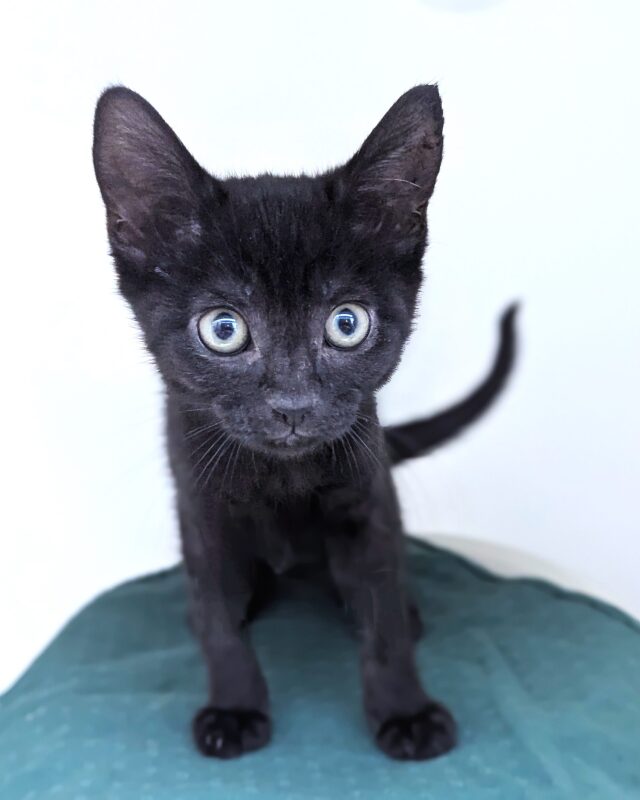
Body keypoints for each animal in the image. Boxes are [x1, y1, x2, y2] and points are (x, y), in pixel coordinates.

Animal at [93, 84, 517, 761]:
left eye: (347, 324)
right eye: (223, 328)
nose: (292, 404)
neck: (280, 478)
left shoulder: (367, 501)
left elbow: (382, 617)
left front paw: (405, 711)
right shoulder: (201, 511)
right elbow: (220, 623)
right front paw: (235, 707)